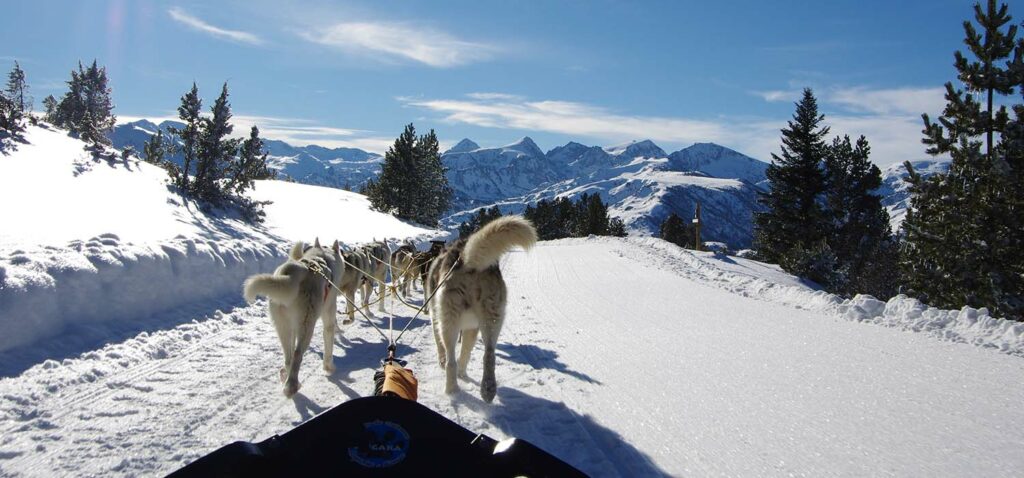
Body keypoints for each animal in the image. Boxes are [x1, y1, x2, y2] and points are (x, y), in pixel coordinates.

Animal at [242, 239, 344, 401]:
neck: (323, 258)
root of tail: (298, 271)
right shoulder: (328, 315)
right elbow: (329, 343)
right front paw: (329, 367)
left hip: (283, 325)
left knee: (288, 356)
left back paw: (286, 378)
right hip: (307, 325)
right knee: (297, 355)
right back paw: (291, 386)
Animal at [423, 218, 536, 403]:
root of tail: (466, 260)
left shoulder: (436, 321)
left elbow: (442, 349)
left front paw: (445, 364)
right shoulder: (472, 328)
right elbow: (466, 353)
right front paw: (463, 373)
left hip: (449, 322)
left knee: (450, 360)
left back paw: (452, 390)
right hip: (492, 318)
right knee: (489, 355)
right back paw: (488, 389)